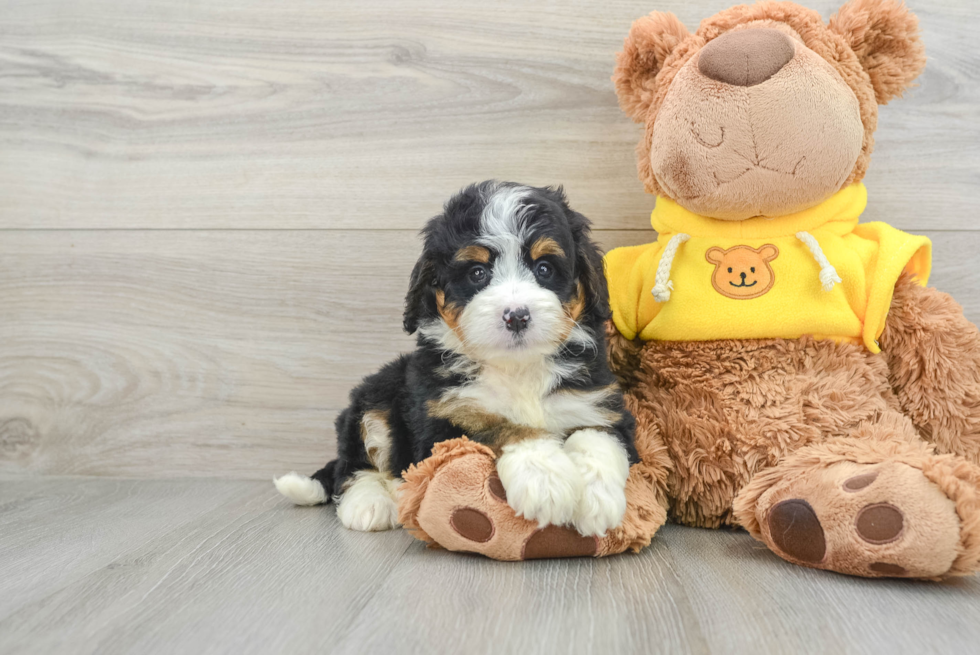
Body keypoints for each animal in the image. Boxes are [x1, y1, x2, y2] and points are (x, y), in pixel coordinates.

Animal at [274, 181, 636, 540]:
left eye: (544, 269)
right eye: (477, 273)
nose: (517, 316)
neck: (517, 367)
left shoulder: (598, 404)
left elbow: (597, 437)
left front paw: (596, 498)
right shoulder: (442, 423)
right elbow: (501, 428)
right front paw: (545, 478)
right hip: (375, 394)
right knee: (352, 465)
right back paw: (370, 503)